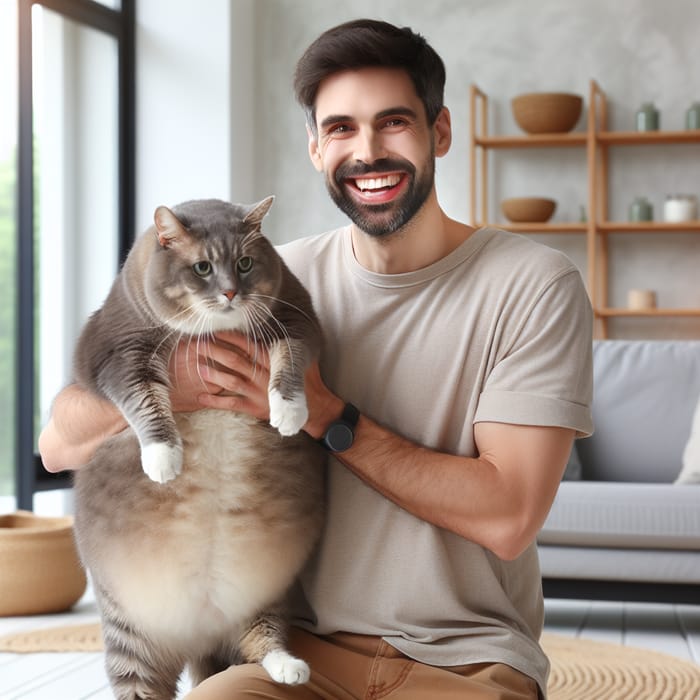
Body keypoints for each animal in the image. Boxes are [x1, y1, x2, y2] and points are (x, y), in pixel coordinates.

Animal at [72, 197, 324, 700]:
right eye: (202, 267)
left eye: (245, 263)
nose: (229, 293)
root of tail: (199, 636)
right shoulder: (116, 352)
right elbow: (143, 398)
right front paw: (163, 459)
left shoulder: (296, 320)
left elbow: (288, 359)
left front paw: (289, 414)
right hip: (132, 640)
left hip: (266, 595)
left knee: (261, 638)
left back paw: (290, 667)